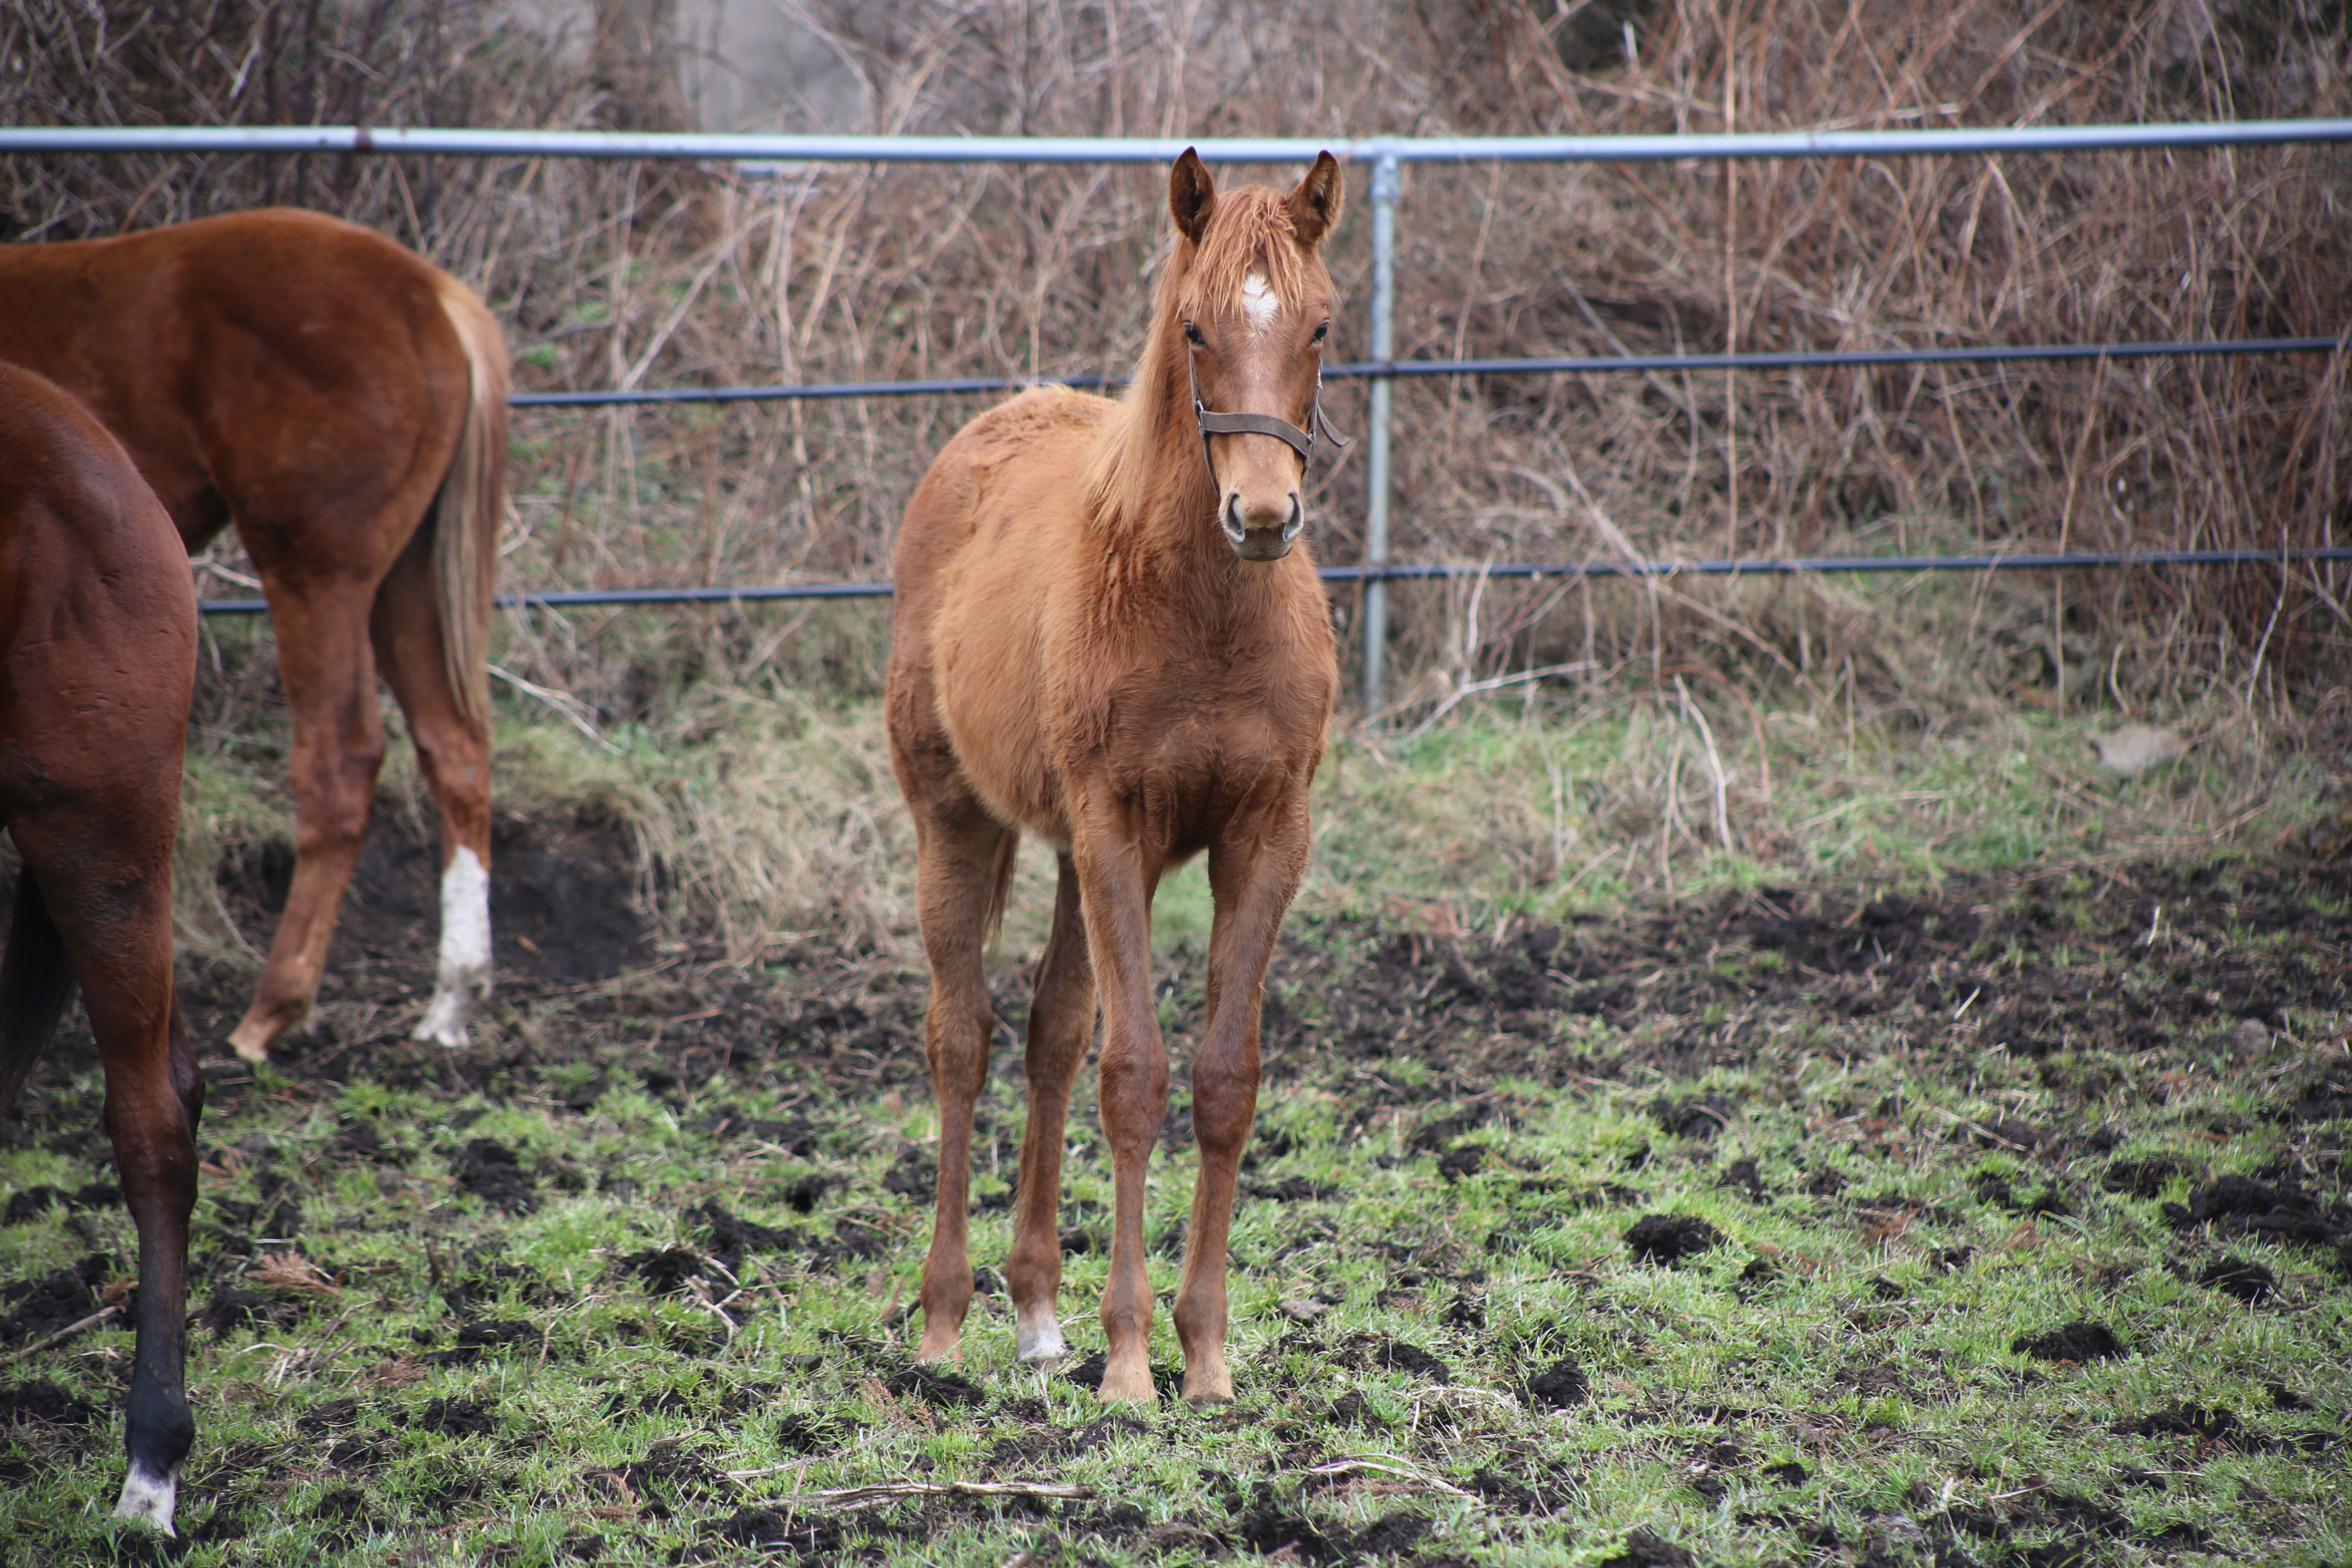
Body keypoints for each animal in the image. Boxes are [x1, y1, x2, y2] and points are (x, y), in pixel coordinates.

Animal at [0, 208, 510, 1062]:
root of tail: (433, 296)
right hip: (407, 574)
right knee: (454, 748)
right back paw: (453, 999)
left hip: (316, 573)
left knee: (341, 760)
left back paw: (273, 1010)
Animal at [884, 153, 1345, 1401]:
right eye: (1192, 327)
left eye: (1321, 325)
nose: (1262, 514)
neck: (1205, 615)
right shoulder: (1116, 831)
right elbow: (1133, 1074)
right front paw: (1133, 1363)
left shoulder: (1264, 837)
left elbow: (1223, 1081)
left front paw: (1209, 1356)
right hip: (959, 819)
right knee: (962, 1038)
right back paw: (944, 1326)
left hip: (1066, 853)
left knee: (1048, 1029)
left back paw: (1039, 1313)